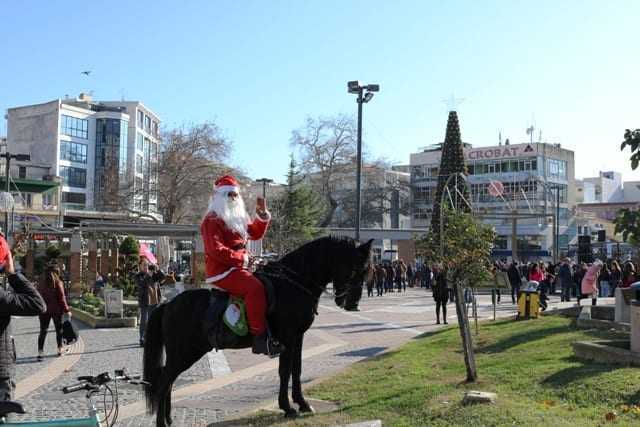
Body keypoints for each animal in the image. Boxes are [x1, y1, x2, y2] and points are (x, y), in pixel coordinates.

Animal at [142, 236, 372, 426]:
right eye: (354, 270)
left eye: (366, 271)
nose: (351, 304)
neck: (293, 284)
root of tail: (168, 304)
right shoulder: (287, 337)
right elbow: (285, 371)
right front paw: (287, 407)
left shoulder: (298, 337)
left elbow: (296, 370)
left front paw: (302, 403)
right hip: (184, 352)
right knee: (164, 381)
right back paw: (161, 422)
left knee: (169, 380)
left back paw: (169, 418)